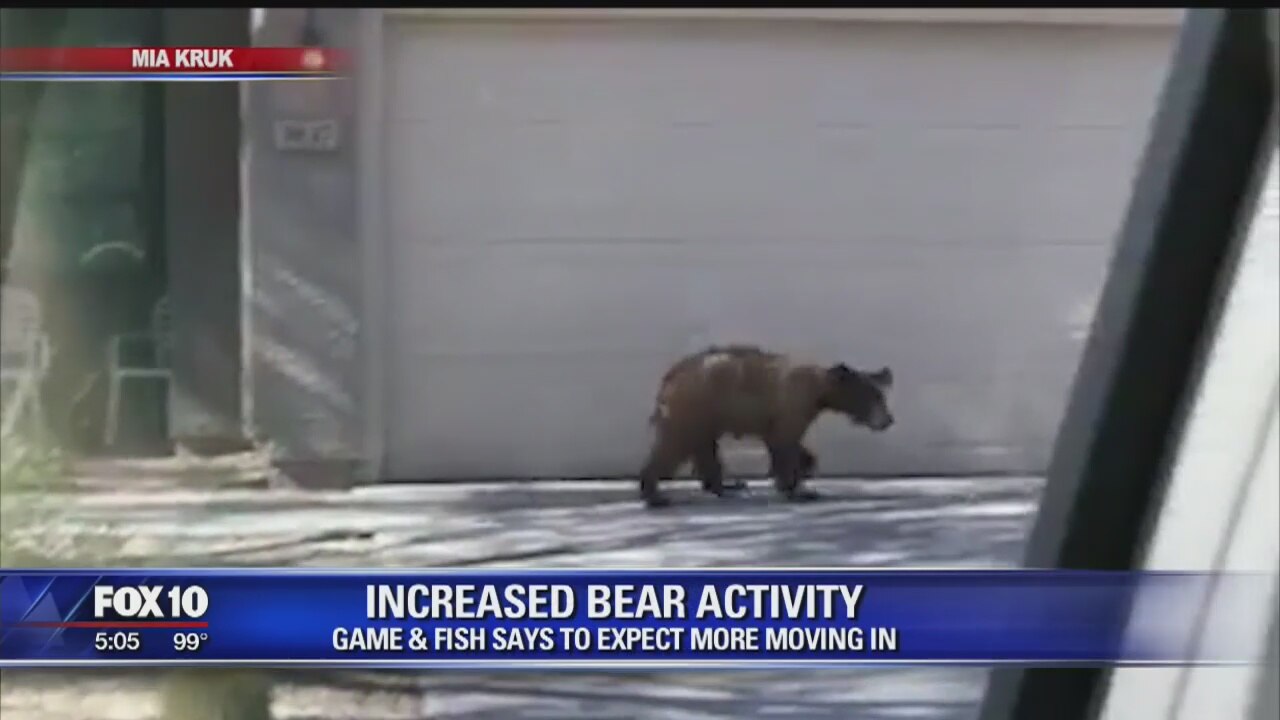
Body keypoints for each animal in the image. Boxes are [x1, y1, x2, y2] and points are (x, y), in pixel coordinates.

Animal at [640, 344, 894, 509]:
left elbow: (785, 442)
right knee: (675, 444)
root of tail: (670, 376)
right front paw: (799, 489)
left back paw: (727, 486)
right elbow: (786, 441)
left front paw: (801, 473)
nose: (888, 420)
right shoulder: (794, 403)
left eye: (881, 397)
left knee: (704, 447)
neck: (820, 391)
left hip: (705, 414)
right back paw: (655, 496)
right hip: (695, 406)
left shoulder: (780, 416)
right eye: (873, 397)